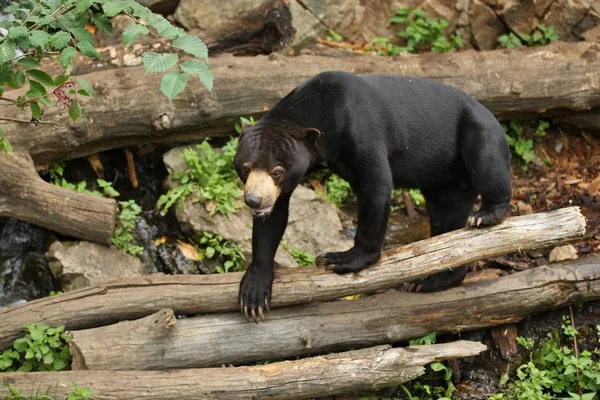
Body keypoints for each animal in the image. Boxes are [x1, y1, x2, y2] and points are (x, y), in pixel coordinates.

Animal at [233, 71, 510, 322]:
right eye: (245, 168)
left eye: (277, 172)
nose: (254, 201)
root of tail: (493, 117)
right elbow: (274, 216)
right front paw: (254, 294)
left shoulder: (360, 130)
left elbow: (375, 185)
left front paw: (338, 259)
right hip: (445, 179)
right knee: (447, 220)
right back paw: (428, 282)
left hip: (477, 134)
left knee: (487, 164)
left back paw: (486, 215)